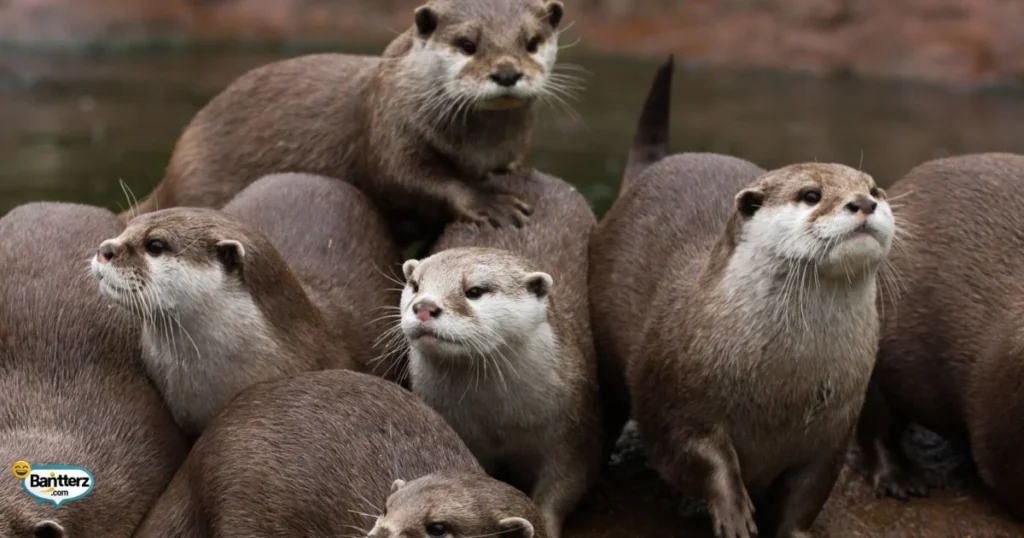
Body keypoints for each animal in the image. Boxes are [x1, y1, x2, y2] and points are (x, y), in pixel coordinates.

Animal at [128, 0, 570, 244]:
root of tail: (172, 172)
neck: (476, 148)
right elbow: (408, 177)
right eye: (467, 44)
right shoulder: (389, 128)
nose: (507, 72)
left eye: (531, 42)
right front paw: (489, 202)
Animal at [398, 170, 601, 538]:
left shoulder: (574, 427)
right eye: (415, 285)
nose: (424, 306)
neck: (499, 420)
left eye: (475, 291)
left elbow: (566, 485)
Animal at [611, 60, 896, 538]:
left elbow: (806, 495)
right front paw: (733, 513)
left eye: (875, 189)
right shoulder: (674, 403)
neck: (786, 389)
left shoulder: (833, 434)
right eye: (811, 195)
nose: (863, 202)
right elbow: (703, 455)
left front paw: (795, 531)